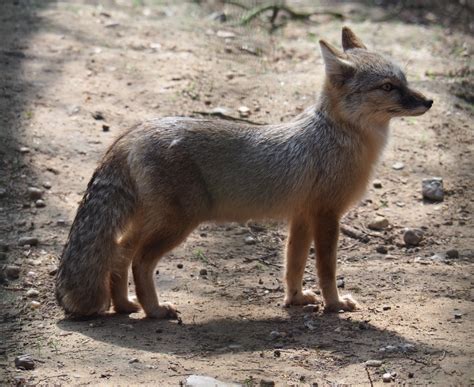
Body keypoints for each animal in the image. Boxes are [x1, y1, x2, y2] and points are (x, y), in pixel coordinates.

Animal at [55, 26, 434, 318]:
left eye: (404, 81)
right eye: (388, 86)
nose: (429, 101)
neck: (333, 136)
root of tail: (134, 131)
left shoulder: (302, 216)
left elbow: (293, 263)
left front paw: (296, 299)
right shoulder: (327, 215)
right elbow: (326, 269)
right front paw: (335, 304)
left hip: (152, 221)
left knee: (119, 251)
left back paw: (124, 305)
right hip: (177, 224)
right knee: (138, 261)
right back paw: (155, 311)